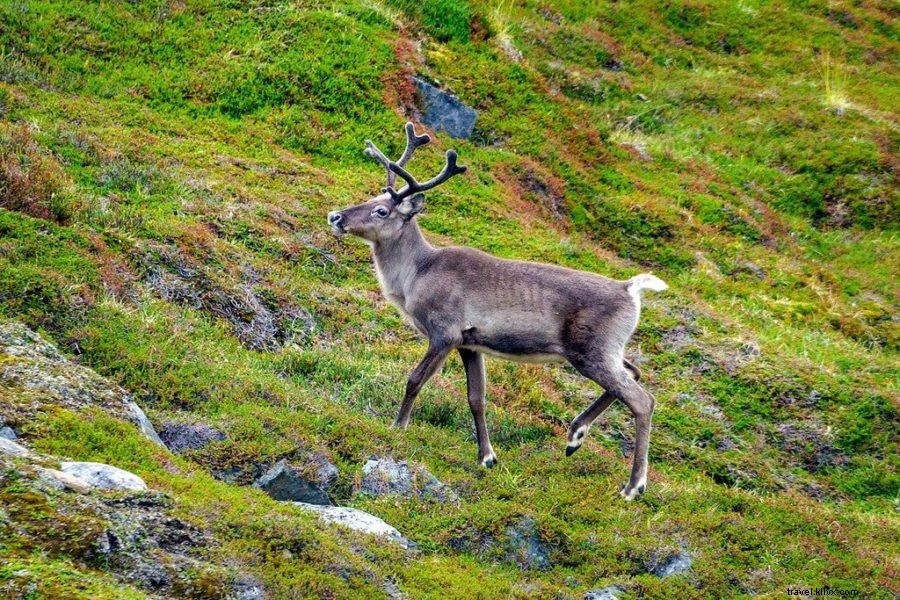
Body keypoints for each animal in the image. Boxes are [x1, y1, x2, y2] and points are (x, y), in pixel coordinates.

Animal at [327, 123, 667, 500]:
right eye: (373, 198)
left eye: (382, 211)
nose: (335, 216)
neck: (416, 275)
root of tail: (631, 289)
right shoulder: (469, 342)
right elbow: (476, 398)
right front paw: (486, 456)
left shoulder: (444, 332)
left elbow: (415, 380)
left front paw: (398, 426)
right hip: (604, 350)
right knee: (634, 372)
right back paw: (575, 435)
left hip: (592, 351)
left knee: (642, 400)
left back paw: (633, 486)